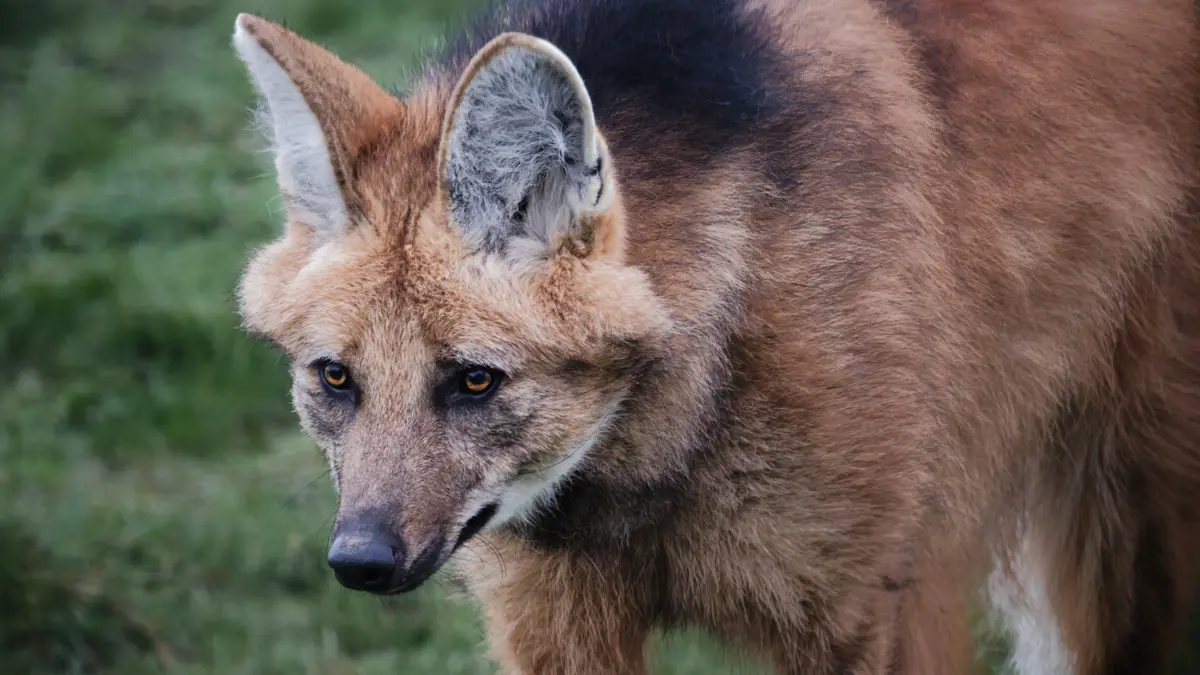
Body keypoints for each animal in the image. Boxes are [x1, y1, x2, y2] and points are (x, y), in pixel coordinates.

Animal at [229, 0, 1200, 672]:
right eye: (335, 378)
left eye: (473, 379)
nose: (360, 560)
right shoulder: (556, 614)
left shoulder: (868, 608)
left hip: (1124, 512)